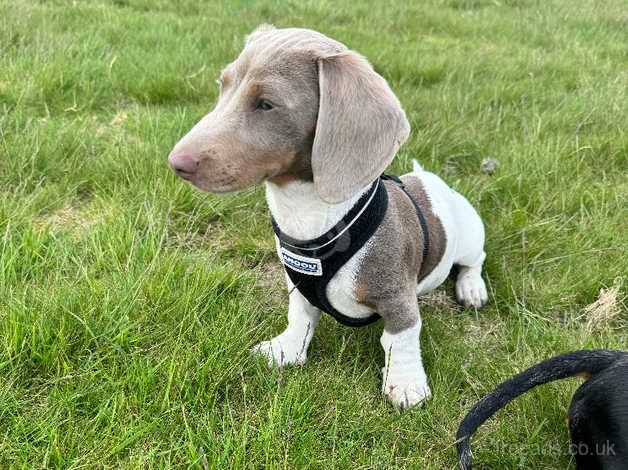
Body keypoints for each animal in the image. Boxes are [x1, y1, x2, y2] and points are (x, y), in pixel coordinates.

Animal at [164, 24, 488, 408]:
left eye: (266, 104)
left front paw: (406, 383)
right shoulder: (298, 287)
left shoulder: (397, 296)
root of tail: (431, 180)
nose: (176, 162)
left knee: (475, 260)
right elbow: (300, 317)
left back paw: (471, 287)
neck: (309, 215)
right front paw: (287, 349)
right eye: (222, 85)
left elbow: (401, 338)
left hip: (469, 236)